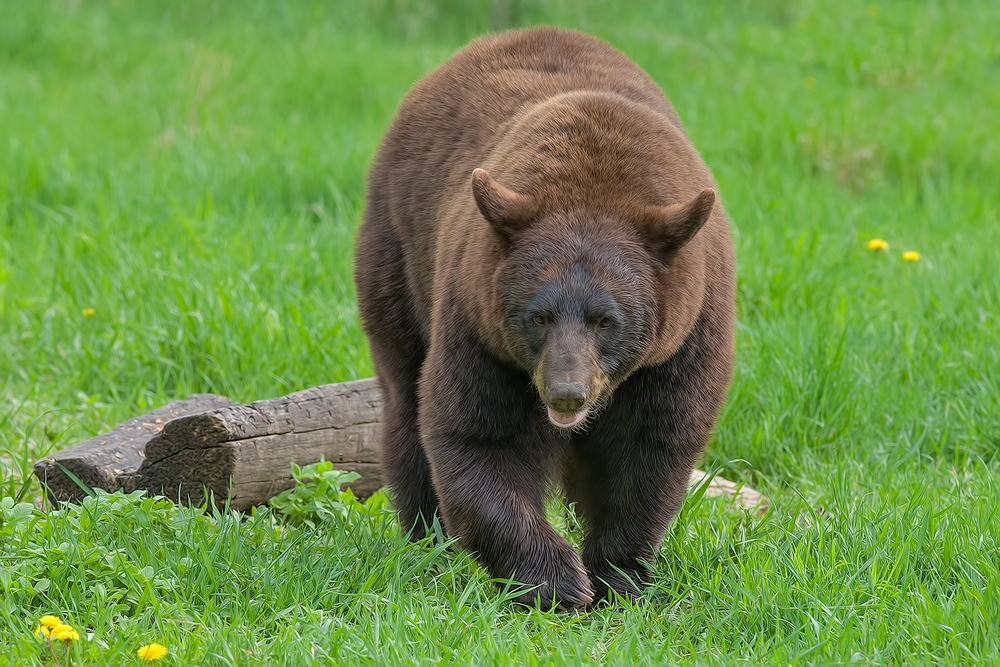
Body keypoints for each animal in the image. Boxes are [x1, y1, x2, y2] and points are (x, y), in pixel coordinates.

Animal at [352, 26, 736, 612]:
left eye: (607, 320)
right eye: (538, 316)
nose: (566, 393)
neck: (594, 176)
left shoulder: (686, 336)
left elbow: (650, 450)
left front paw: (617, 576)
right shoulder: (477, 320)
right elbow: (478, 436)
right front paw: (557, 582)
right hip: (399, 253)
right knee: (404, 401)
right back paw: (426, 539)